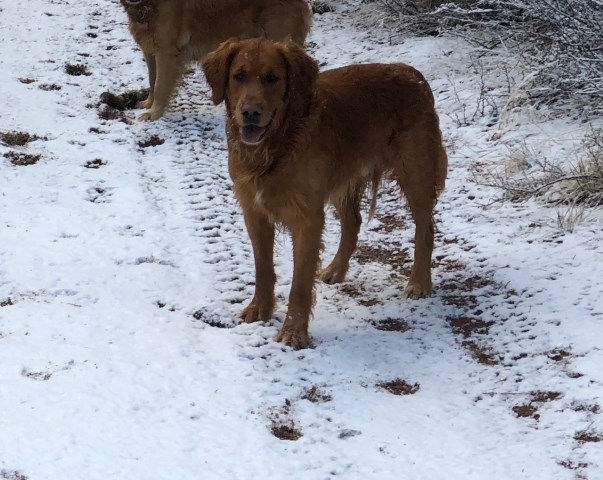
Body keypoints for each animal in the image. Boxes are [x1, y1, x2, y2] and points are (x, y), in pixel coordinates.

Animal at [118, 0, 312, 120]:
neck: (149, 5)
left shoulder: (166, 52)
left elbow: (159, 85)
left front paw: (154, 113)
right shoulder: (150, 49)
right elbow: (152, 80)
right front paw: (148, 104)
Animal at [203, 38, 448, 348]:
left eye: (272, 78)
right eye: (238, 76)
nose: (250, 113)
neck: (277, 145)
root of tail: (411, 72)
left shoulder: (307, 217)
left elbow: (299, 283)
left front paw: (294, 332)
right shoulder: (254, 212)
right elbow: (263, 268)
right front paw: (260, 309)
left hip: (416, 172)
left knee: (425, 229)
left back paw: (419, 282)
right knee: (353, 222)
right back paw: (336, 269)